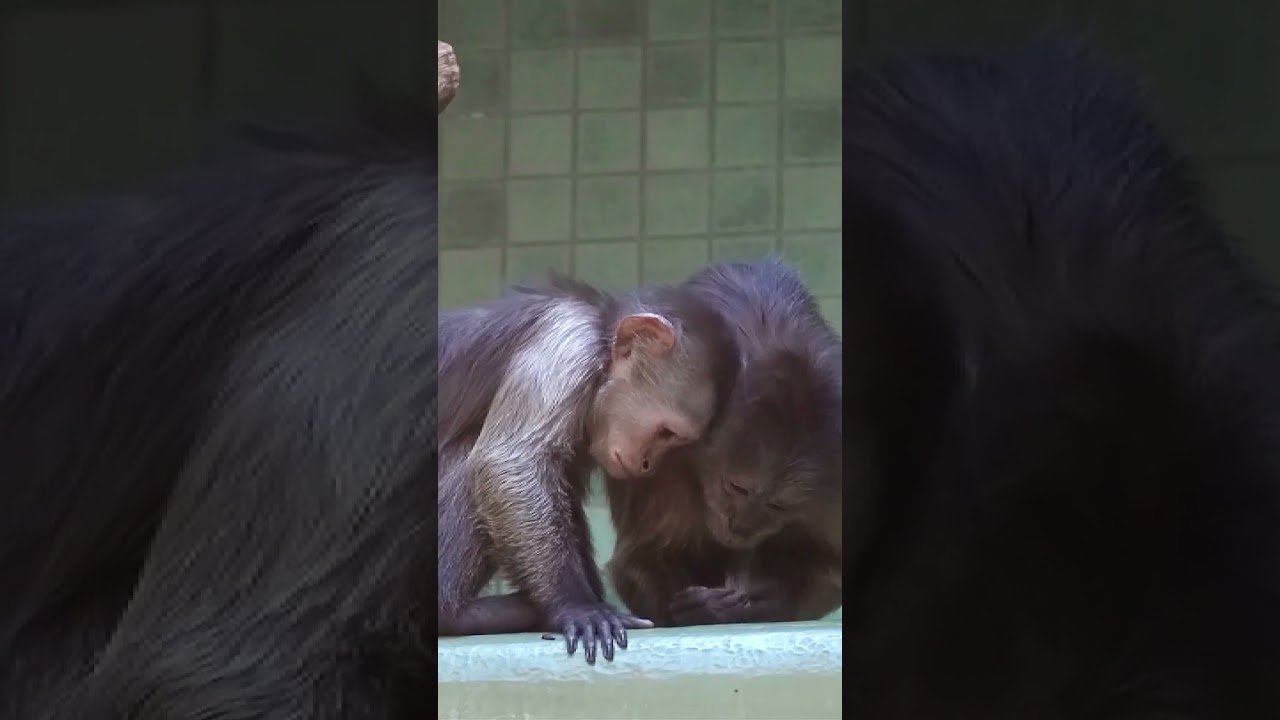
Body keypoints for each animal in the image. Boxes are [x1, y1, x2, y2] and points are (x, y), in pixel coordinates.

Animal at [437, 274, 739, 662]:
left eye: (674, 441)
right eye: (666, 432)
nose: (646, 464)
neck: (600, 330)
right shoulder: (568, 340)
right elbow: (509, 462)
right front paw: (578, 606)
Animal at [605, 258, 844, 627]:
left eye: (778, 505)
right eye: (736, 487)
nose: (741, 528)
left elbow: (836, 565)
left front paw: (765, 600)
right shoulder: (658, 460)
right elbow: (636, 557)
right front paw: (690, 609)